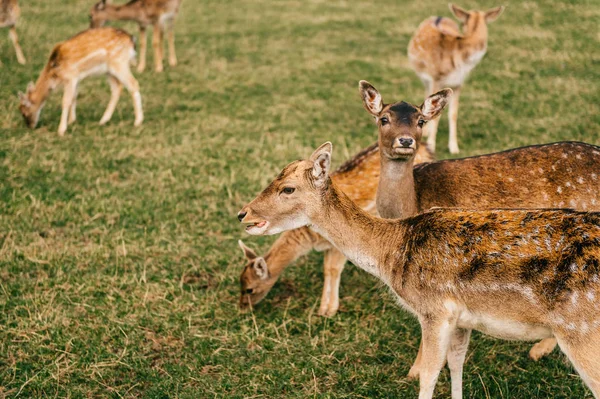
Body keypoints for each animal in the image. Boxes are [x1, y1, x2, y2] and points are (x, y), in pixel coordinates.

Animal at [237, 142, 434, 318]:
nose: (242, 308)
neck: (311, 238)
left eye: (249, 289)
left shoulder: (339, 245)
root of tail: (427, 148)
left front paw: (329, 310)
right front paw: (323, 309)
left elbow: (333, 269)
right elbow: (327, 269)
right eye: (240, 284)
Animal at [358, 79, 600, 376]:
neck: (410, 205)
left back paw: (538, 350)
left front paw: (415, 370)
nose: (405, 140)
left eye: (421, 121)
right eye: (384, 118)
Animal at [408, 3, 506, 155]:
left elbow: (453, 114)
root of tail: (437, 16)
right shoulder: (436, 78)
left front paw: (454, 148)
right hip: (425, 77)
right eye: (462, 23)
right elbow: (436, 114)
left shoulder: (458, 82)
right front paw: (431, 146)